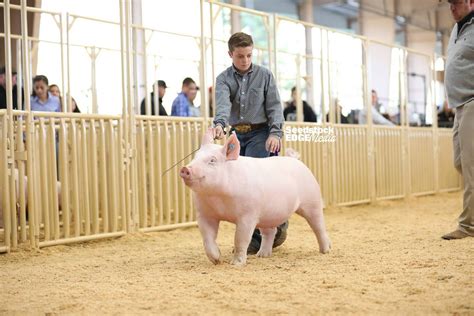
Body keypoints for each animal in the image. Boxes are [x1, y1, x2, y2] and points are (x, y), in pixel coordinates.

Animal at [180, 130, 332, 266]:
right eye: (195, 157)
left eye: (212, 160)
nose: (185, 169)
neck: (218, 199)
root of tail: (296, 160)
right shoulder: (205, 214)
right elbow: (207, 238)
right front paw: (217, 260)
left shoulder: (247, 215)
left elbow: (240, 239)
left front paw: (236, 264)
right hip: (267, 215)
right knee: (270, 232)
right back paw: (262, 255)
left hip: (312, 200)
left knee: (319, 226)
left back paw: (325, 250)